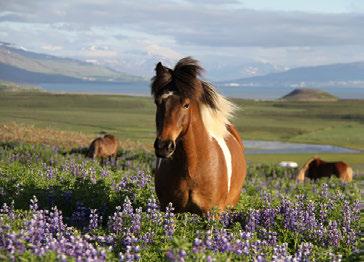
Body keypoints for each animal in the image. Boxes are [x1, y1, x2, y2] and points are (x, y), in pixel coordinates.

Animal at [151, 56, 247, 214]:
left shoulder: (213, 213)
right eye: (158, 102)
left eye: (186, 105)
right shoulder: (170, 208)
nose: (163, 146)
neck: (192, 166)